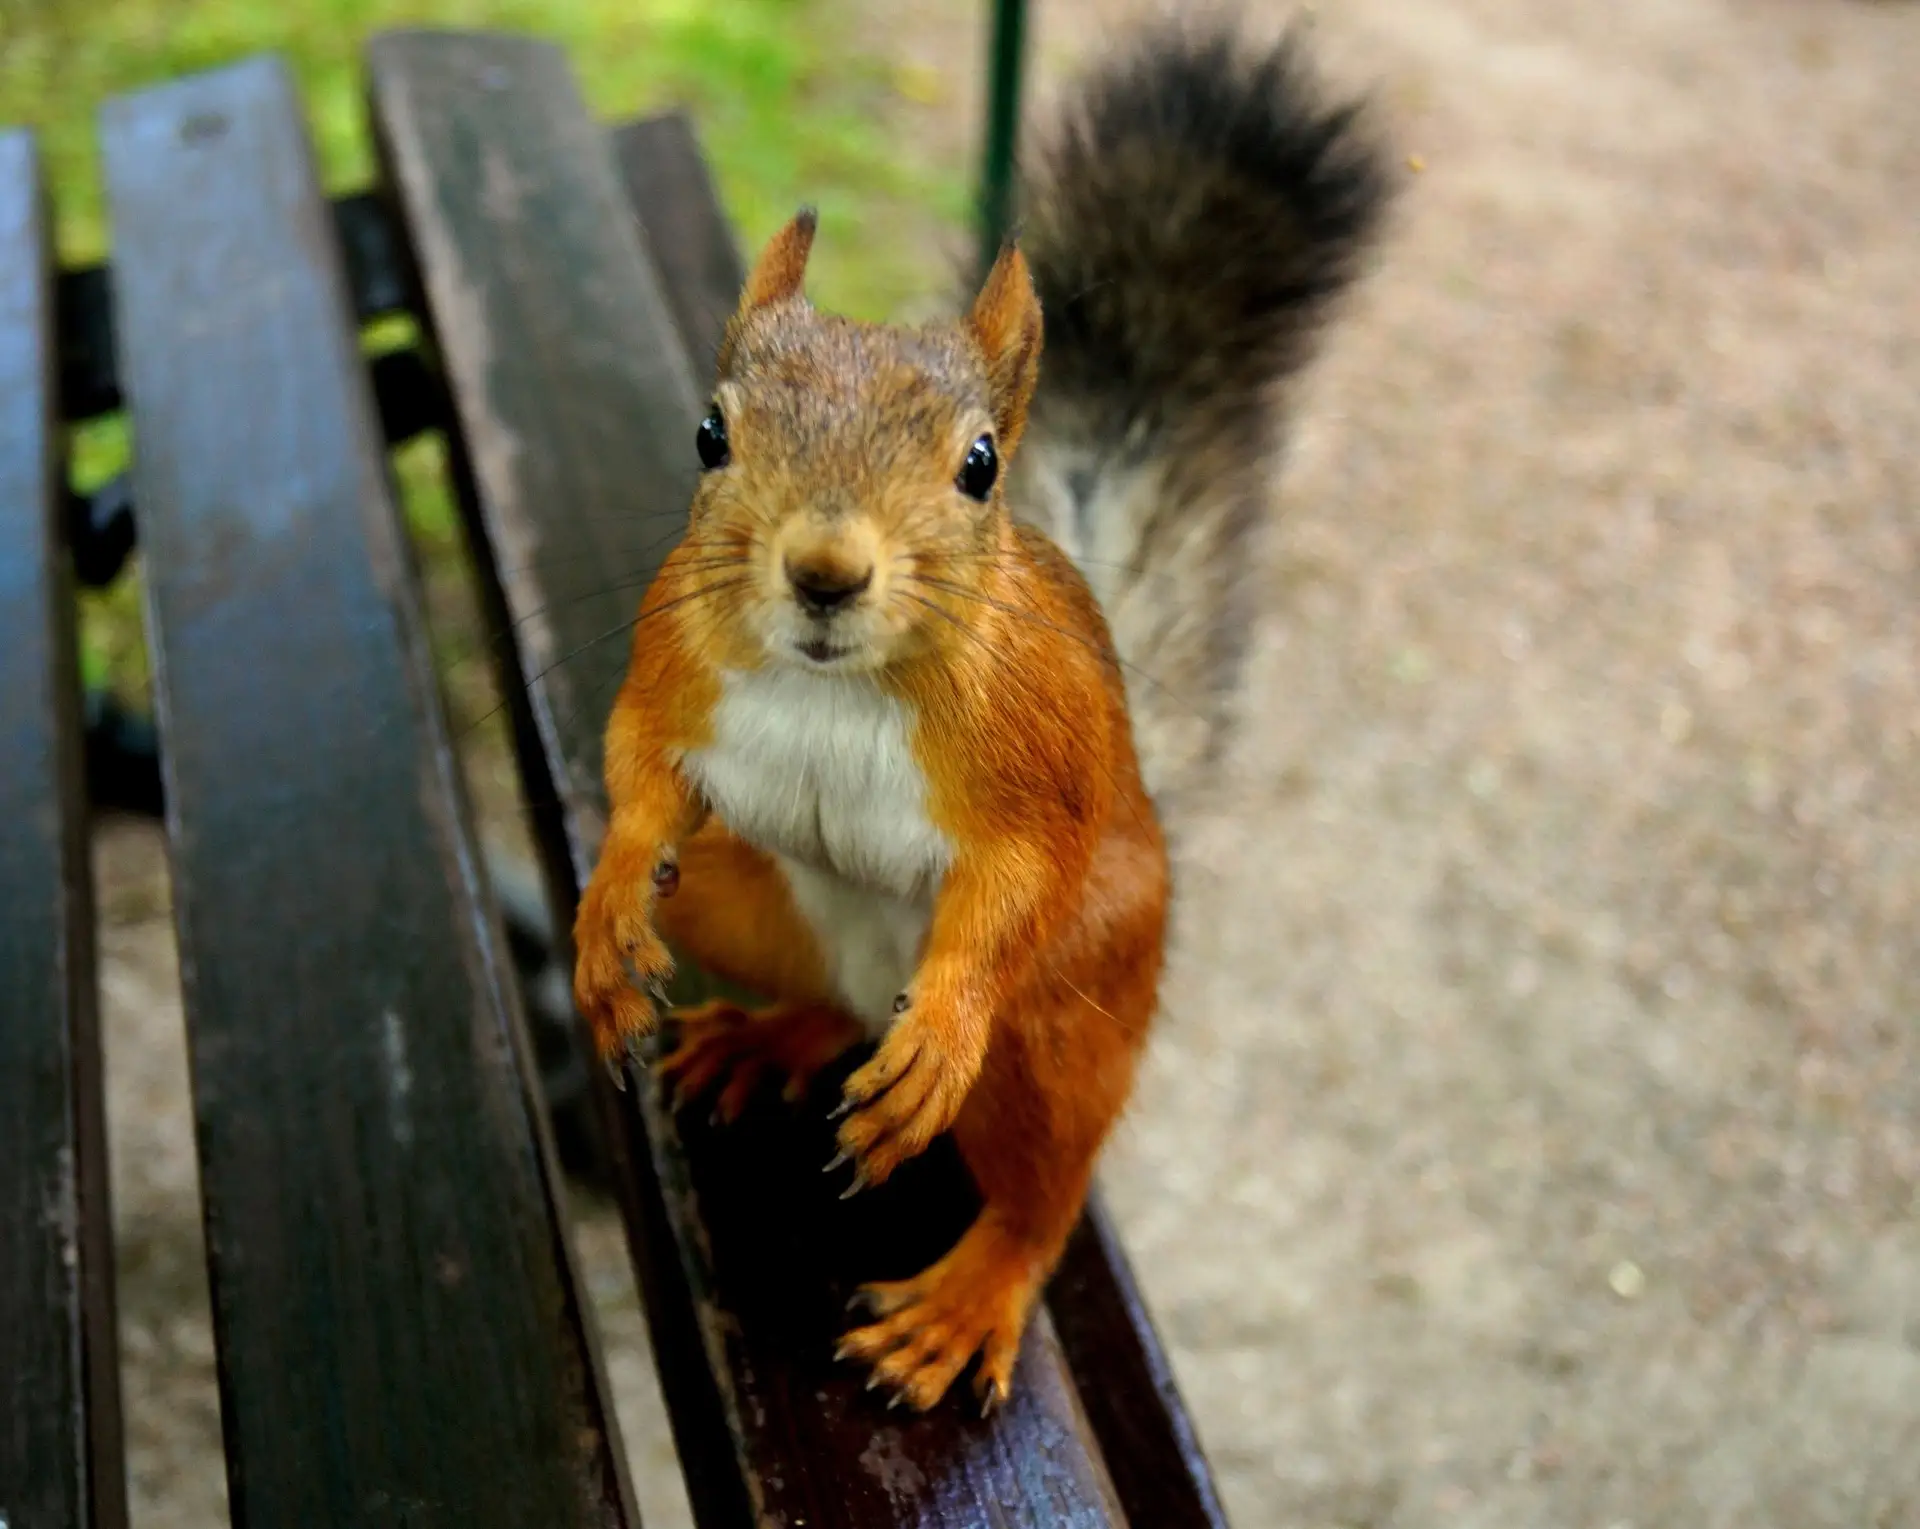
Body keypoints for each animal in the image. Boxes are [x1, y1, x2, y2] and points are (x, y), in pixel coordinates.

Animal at [571, 16, 1390, 1414]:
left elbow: (1020, 874)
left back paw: (966, 1289)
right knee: (833, 1006)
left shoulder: (1039, 751)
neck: (835, 680)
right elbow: (638, 770)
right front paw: (609, 903)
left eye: (979, 464)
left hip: (1063, 1029)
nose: (824, 570)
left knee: (1039, 1192)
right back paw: (770, 1034)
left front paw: (947, 1016)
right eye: (709, 432)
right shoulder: (673, 664)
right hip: (742, 896)